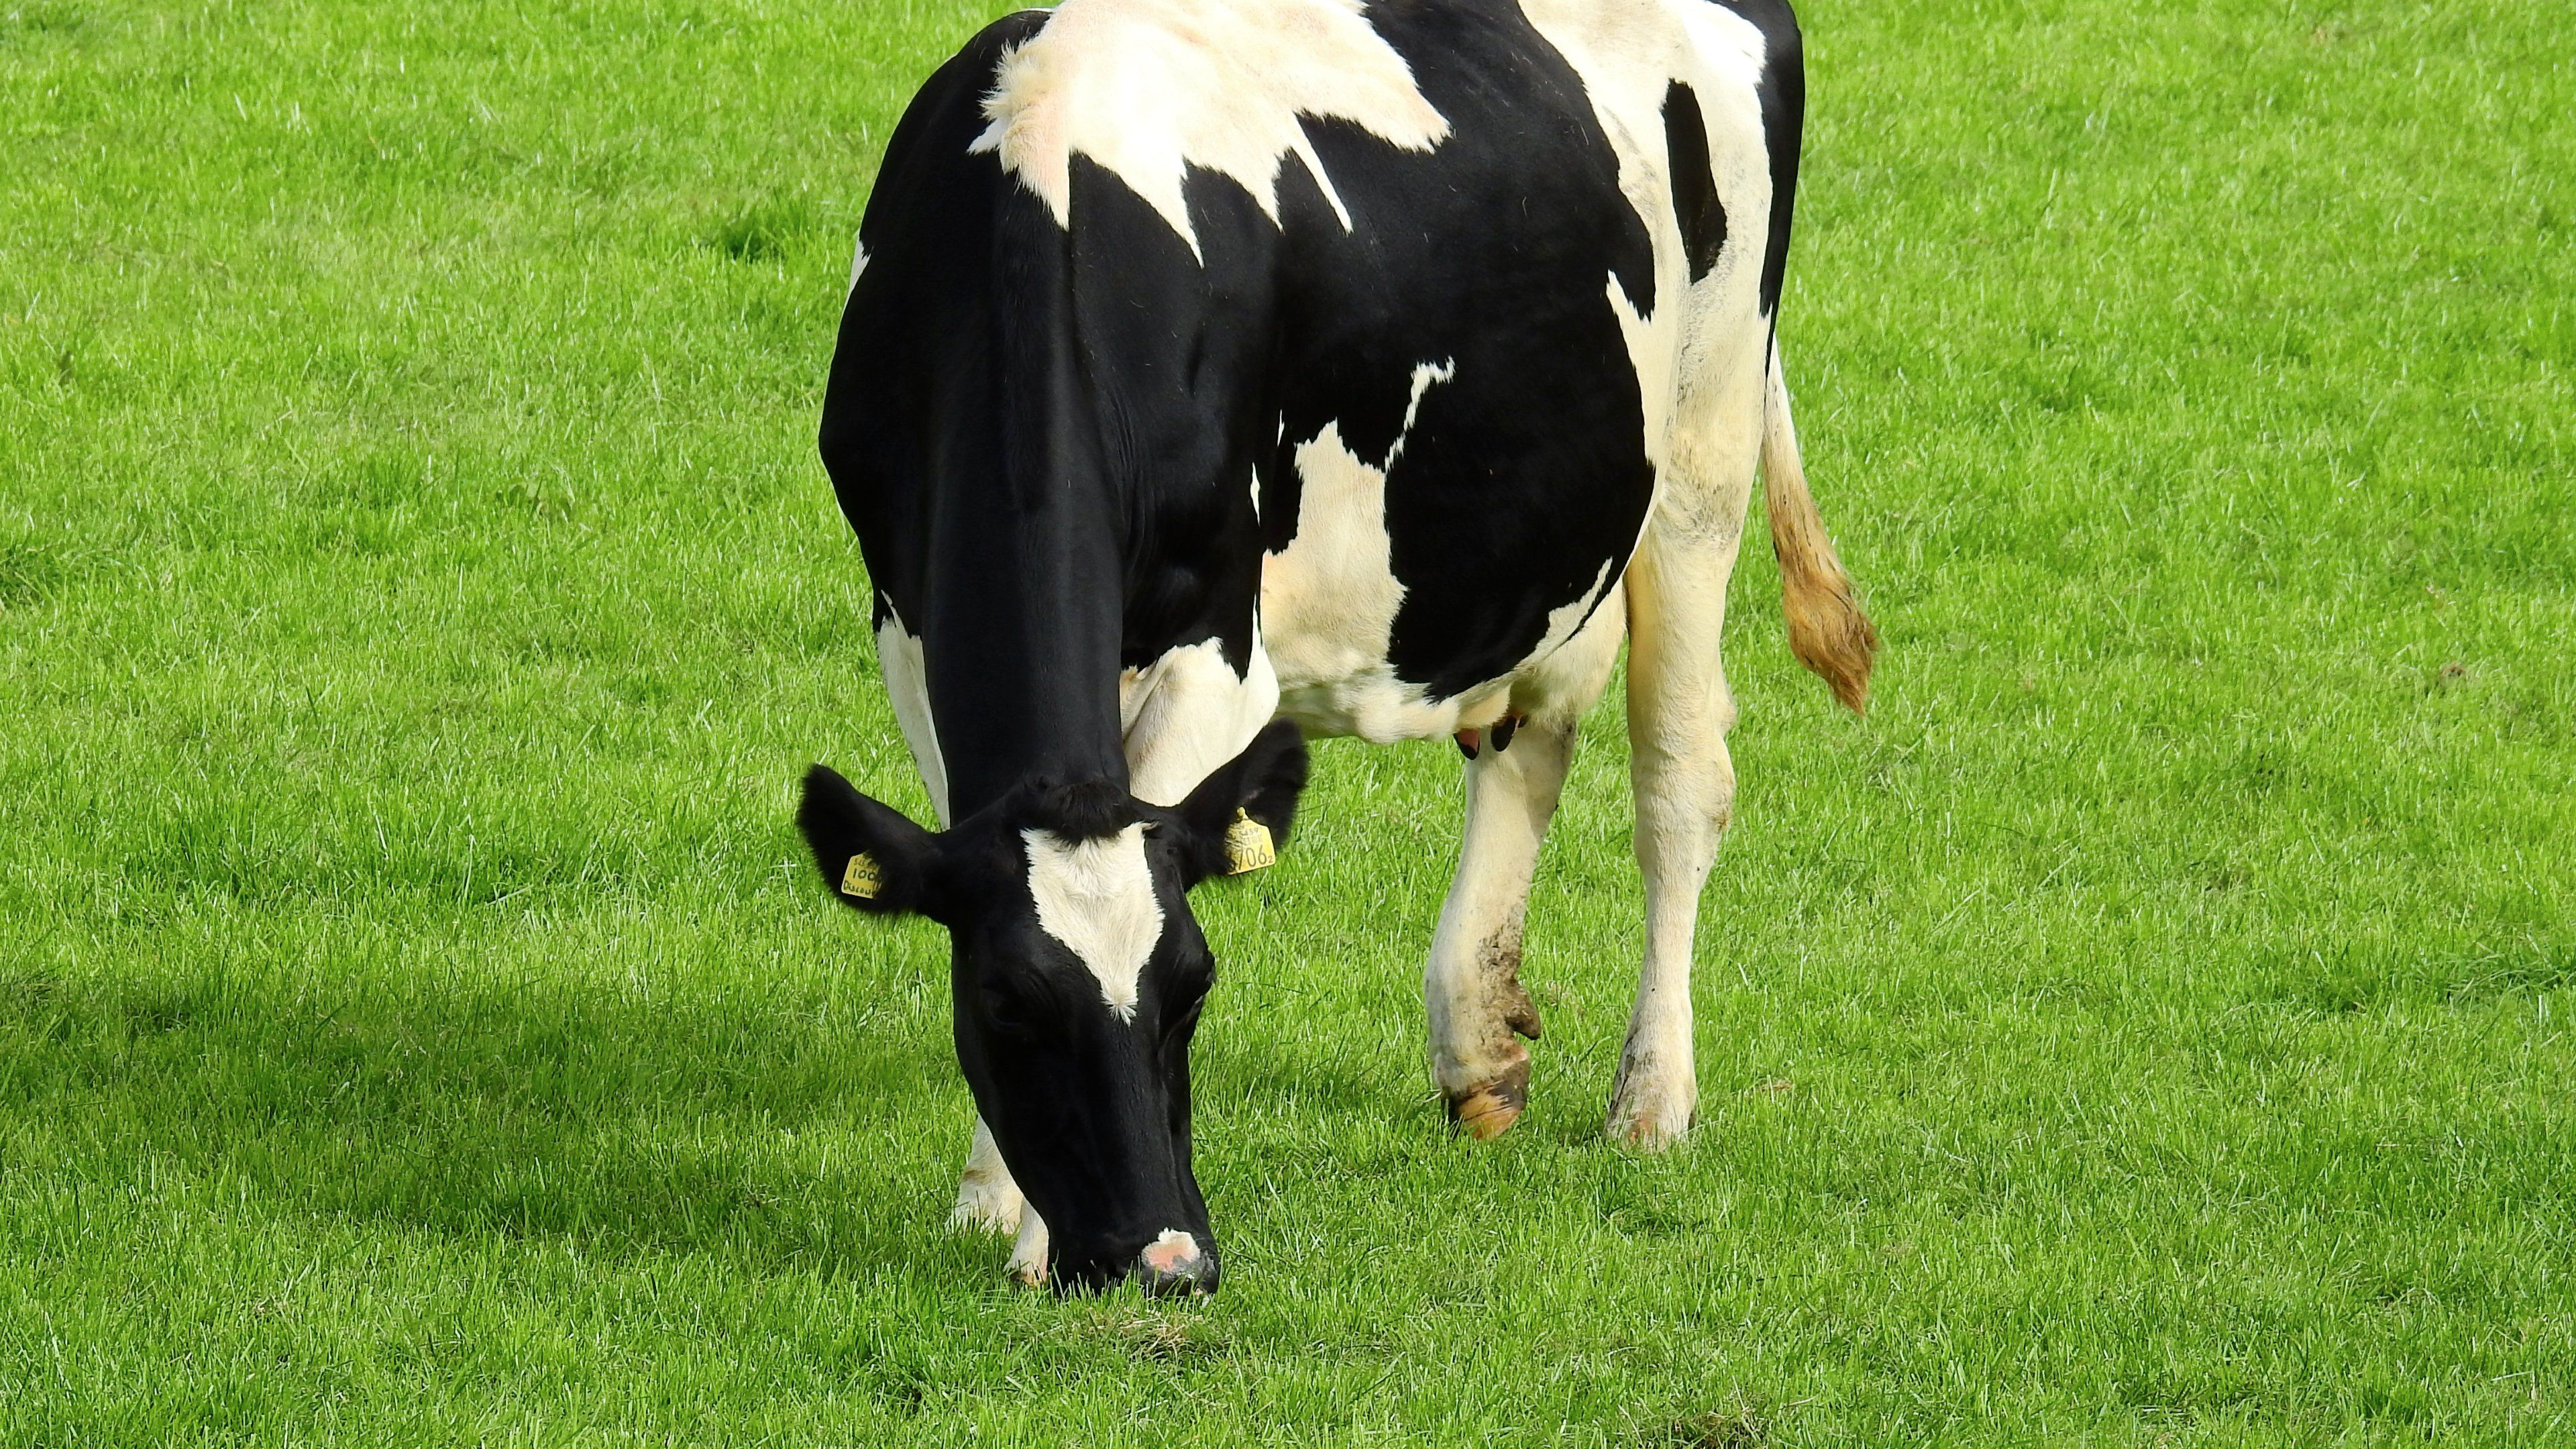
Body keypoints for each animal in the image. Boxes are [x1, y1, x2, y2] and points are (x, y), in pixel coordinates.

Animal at [797, 0, 1876, 1295]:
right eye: (1006, 1005)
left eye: (1193, 988)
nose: (1168, 1259)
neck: (1043, 188)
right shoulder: (904, 628)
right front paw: (990, 1198)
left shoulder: (1216, 653)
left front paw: (1033, 1236)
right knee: (1532, 736)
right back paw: (1478, 1048)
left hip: (1704, 445)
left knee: (1681, 779)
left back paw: (1651, 1102)